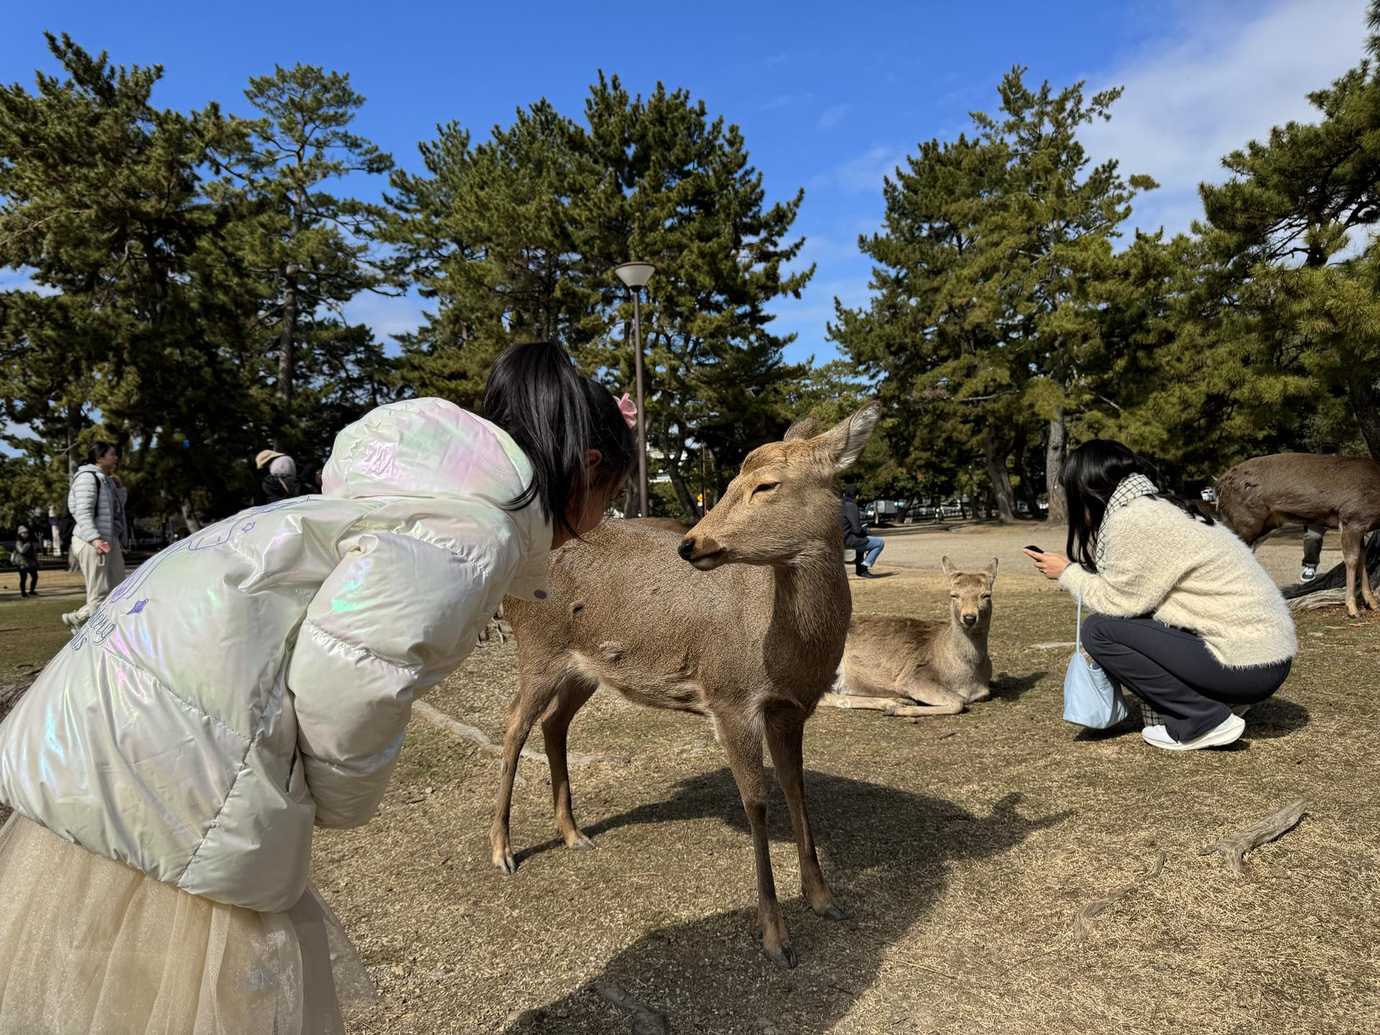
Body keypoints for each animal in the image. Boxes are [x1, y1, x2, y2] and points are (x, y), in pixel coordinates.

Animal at [489, 403, 880, 969]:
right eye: (732, 479)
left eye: (766, 484)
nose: (691, 543)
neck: (791, 654)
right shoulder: (731, 698)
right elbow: (756, 803)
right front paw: (776, 937)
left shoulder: (791, 709)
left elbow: (796, 788)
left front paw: (825, 899)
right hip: (538, 650)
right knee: (513, 722)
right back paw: (502, 850)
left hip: (585, 669)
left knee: (553, 723)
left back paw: (573, 833)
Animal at [820, 557, 997, 718]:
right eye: (954, 595)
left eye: (986, 595)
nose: (969, 618)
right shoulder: (914, 677)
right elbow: (958, 702)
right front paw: (901, 710)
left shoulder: (984, 693)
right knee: (826, 696)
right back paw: (894, 705)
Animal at [1215, 453, 1380, 618]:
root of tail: (1220, 484)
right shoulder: (1351, 518)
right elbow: (1352, 560)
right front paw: (1352, 609)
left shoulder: (1361, 527)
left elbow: (1362, 559)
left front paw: (1372, 603)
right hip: (1246, 520)